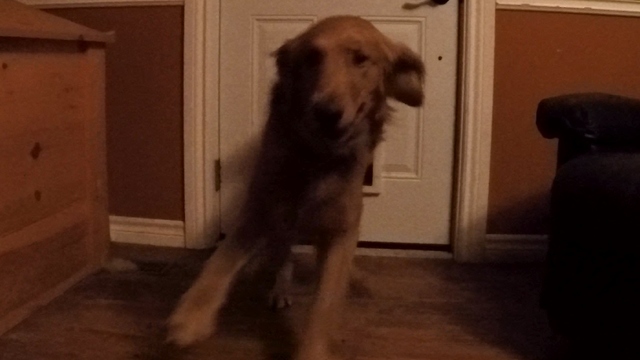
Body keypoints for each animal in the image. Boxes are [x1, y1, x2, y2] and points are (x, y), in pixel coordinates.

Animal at [169, 15, 424, 358]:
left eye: (360, 59)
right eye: (312, 58)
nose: (325, 112)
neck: (317, 157)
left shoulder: (341, 228)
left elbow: (325, 301)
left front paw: (313, 349)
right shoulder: (262, 208)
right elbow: (220, 262)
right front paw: (190, 317)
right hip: (282, 222)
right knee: (282, 254)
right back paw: (279, 287)